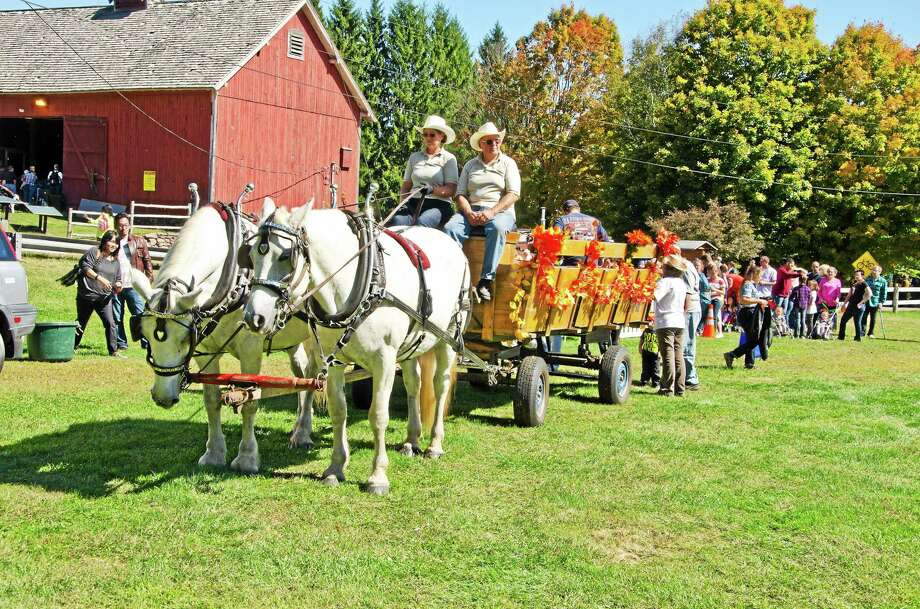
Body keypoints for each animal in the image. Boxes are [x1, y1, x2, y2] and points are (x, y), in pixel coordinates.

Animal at [133, 202, 320, 472]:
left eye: (184, 338)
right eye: (145, 336)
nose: (163, 397)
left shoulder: (251, 350)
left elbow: (250, 401)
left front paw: (247, 457)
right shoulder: (207, 351)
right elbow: (211, 399)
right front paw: (214, 453)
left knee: (315, 376)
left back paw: (303, 433)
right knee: (302, 375)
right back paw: (300, 427)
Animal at [243, 200, 470, 494]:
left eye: (285, 256)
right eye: (251, 255)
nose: (254, 318)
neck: (360, 280)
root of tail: (451, 243)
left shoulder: (384, 360)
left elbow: (378, 415)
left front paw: (378, 476)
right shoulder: (333, 359)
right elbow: (339, 410)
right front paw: (335, 468)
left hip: (449, 337)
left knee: (440, 386)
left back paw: (434, 444)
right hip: (411, 344)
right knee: (414, 384)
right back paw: (412, 440)